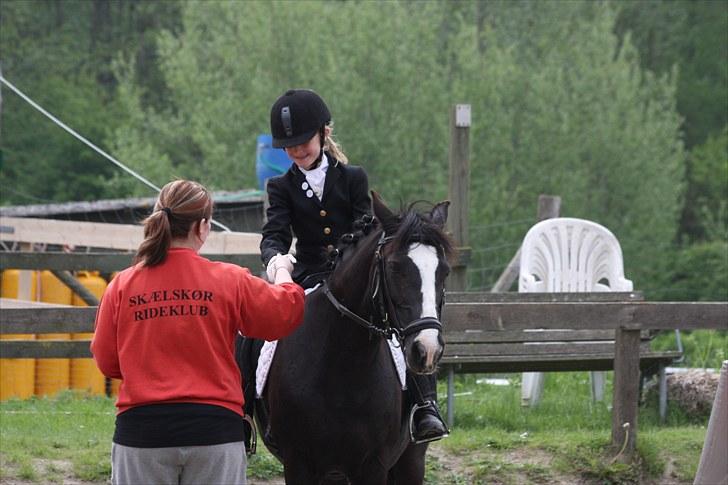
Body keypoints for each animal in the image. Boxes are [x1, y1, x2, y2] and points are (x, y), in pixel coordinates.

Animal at [256, 191, 452, 482]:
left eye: (445, 271)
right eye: (394, 267)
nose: (427, 350)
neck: (343, 363)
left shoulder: (373, 464)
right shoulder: (297, 462)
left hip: (411, 461)